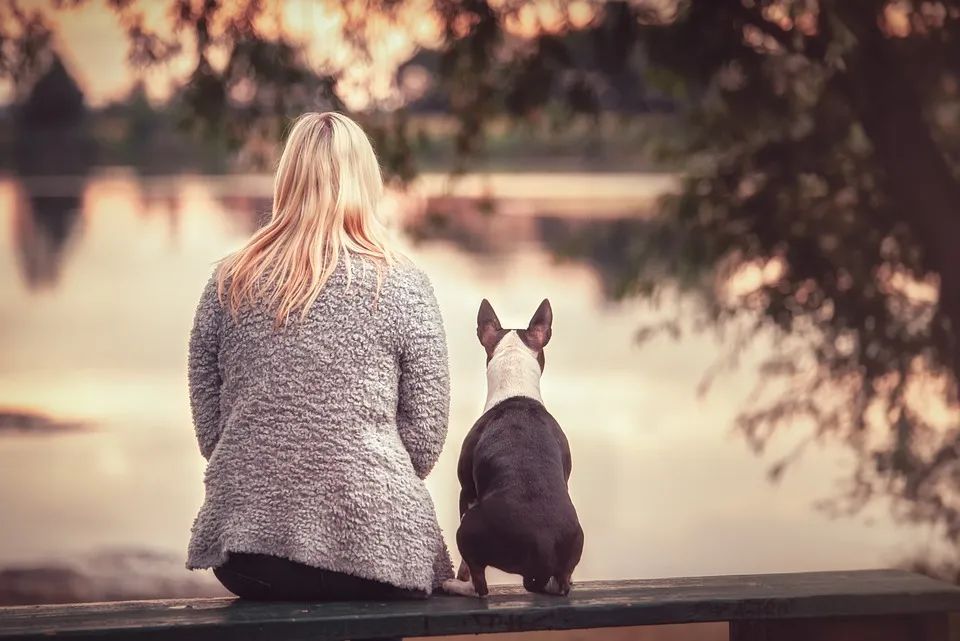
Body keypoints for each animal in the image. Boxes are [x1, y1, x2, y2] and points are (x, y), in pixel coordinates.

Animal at [442, 298, 584, 596]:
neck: (515, 388)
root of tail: (542, 545)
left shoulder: (466, 490)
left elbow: (465, 565)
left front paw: (459, 577)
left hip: (467, 529)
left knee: (480, 585)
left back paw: (456, 586)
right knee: (561, 582)